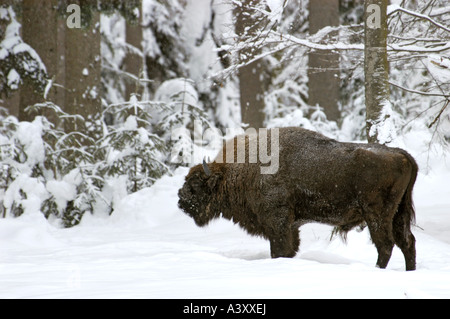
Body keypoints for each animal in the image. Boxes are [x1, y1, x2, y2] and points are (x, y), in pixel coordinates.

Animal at [177, 126, 418, 272]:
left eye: (195, 185)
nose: (180, 200)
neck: (242, 171)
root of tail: (403, 155)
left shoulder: (277, 223)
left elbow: (280, 250)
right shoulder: (292, 226)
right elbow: (290, 250)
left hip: (376, 215)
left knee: (386, 245)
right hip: (399, 213)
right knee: (407, 242)